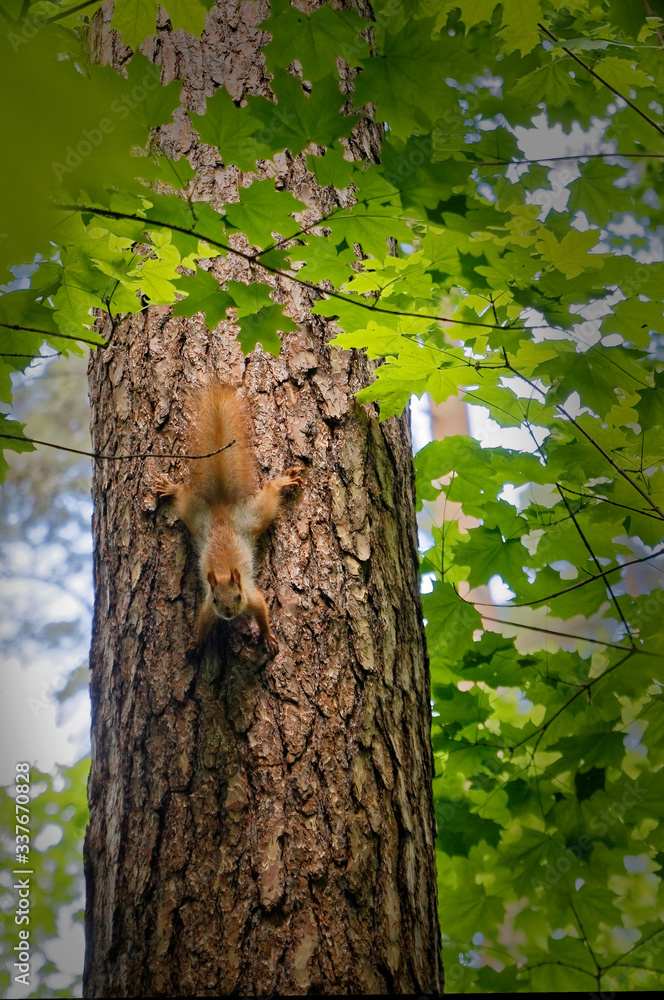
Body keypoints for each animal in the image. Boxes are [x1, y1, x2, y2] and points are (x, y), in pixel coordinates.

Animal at [151, 384, 303, 654]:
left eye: (238, 597)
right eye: (215, 599)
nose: (229, 613)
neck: (223, 574)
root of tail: (222, 512)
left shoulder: (252, 595)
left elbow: (262, 610)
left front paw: (268, 637)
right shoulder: (209, 608)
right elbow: (202, 622)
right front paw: (195, 644)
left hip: (254, 517)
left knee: (271, 490)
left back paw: (283, 481)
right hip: (194, 515)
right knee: (182, 495)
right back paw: (170, 488)